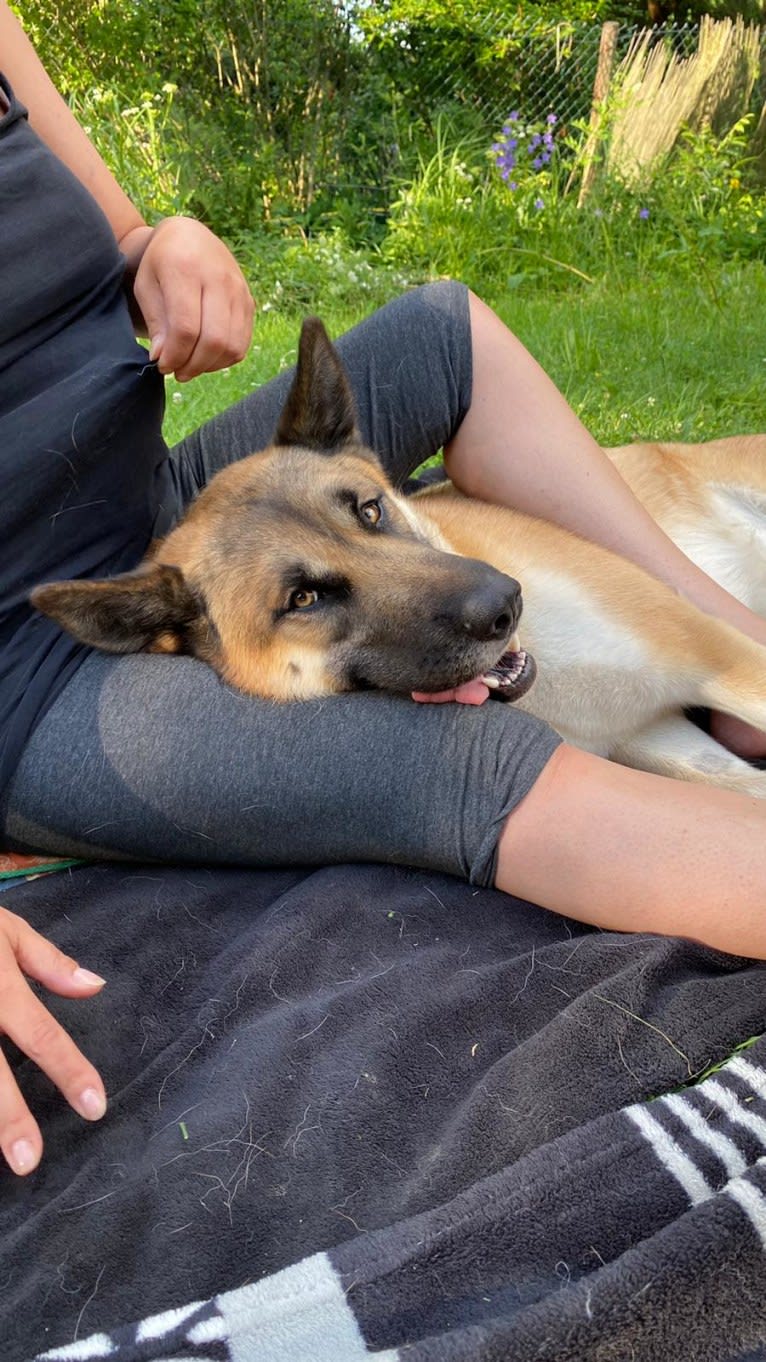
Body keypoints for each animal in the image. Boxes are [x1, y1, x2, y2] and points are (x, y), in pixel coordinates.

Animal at [34, 315, 766, 795]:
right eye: (304, 599)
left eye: (369, 510)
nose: (505, 605)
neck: (550, 680)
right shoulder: (669, 740)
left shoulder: (725, 659)